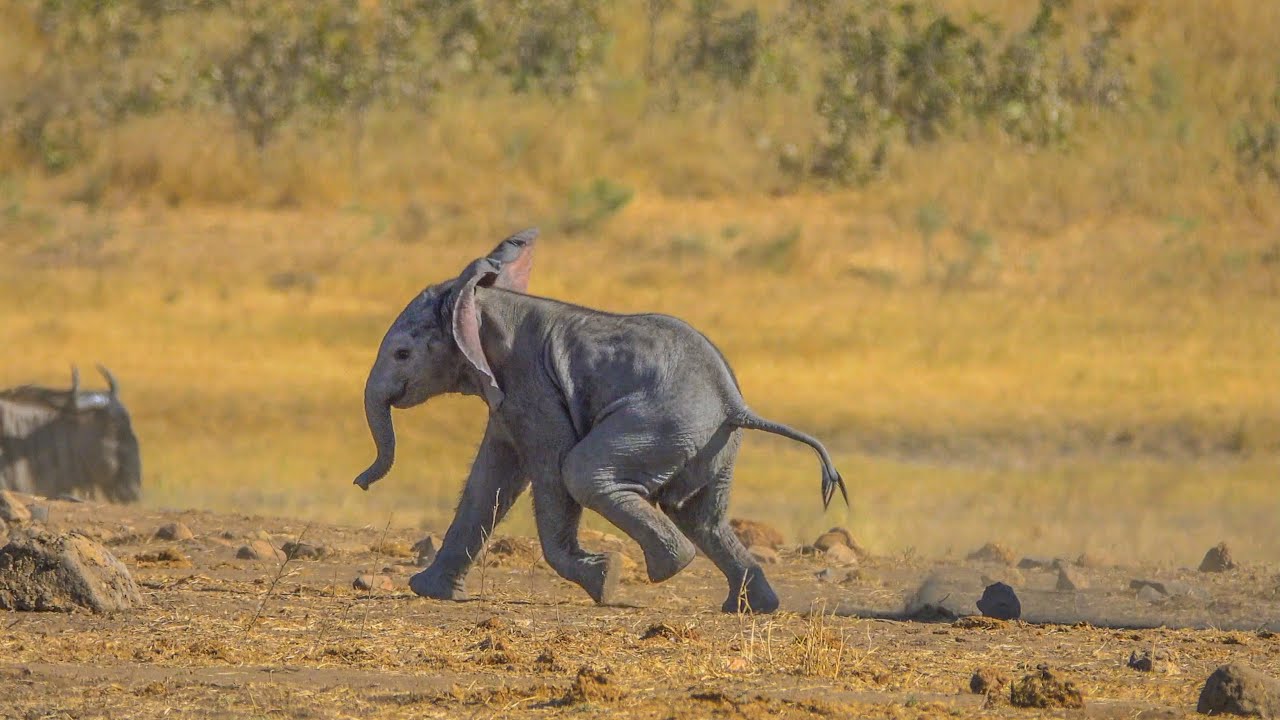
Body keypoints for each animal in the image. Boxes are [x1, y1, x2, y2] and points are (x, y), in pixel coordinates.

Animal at [353, 229, 847, 613]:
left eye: (402, 354)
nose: (360, 484)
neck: (480, 299)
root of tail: (733, 402)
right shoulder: (507, 393)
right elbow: (488, 480)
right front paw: (428, 591)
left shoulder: (530, 382)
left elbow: (549, 472)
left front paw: (603, 579)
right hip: (713, 442)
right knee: (698, 513)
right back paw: (748, 607)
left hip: (660, 422)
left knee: (584, 473)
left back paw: (666, 569)